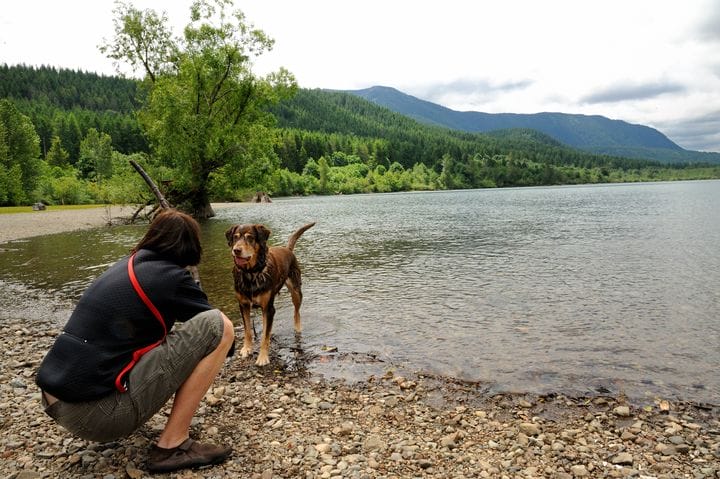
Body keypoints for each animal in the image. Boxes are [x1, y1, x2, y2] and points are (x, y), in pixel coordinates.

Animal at [225, 223, 316, 366]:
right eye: (235, 237)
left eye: (250, 238)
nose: (236, 250)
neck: (251, 273)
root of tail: (287, 249)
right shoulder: (243, 305)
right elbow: (247, 330)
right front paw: (246, 348)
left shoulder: (268, 307)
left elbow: (265, 337)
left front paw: (262, 357)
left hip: (296, 291)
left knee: (296, 312)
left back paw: (297, 328)